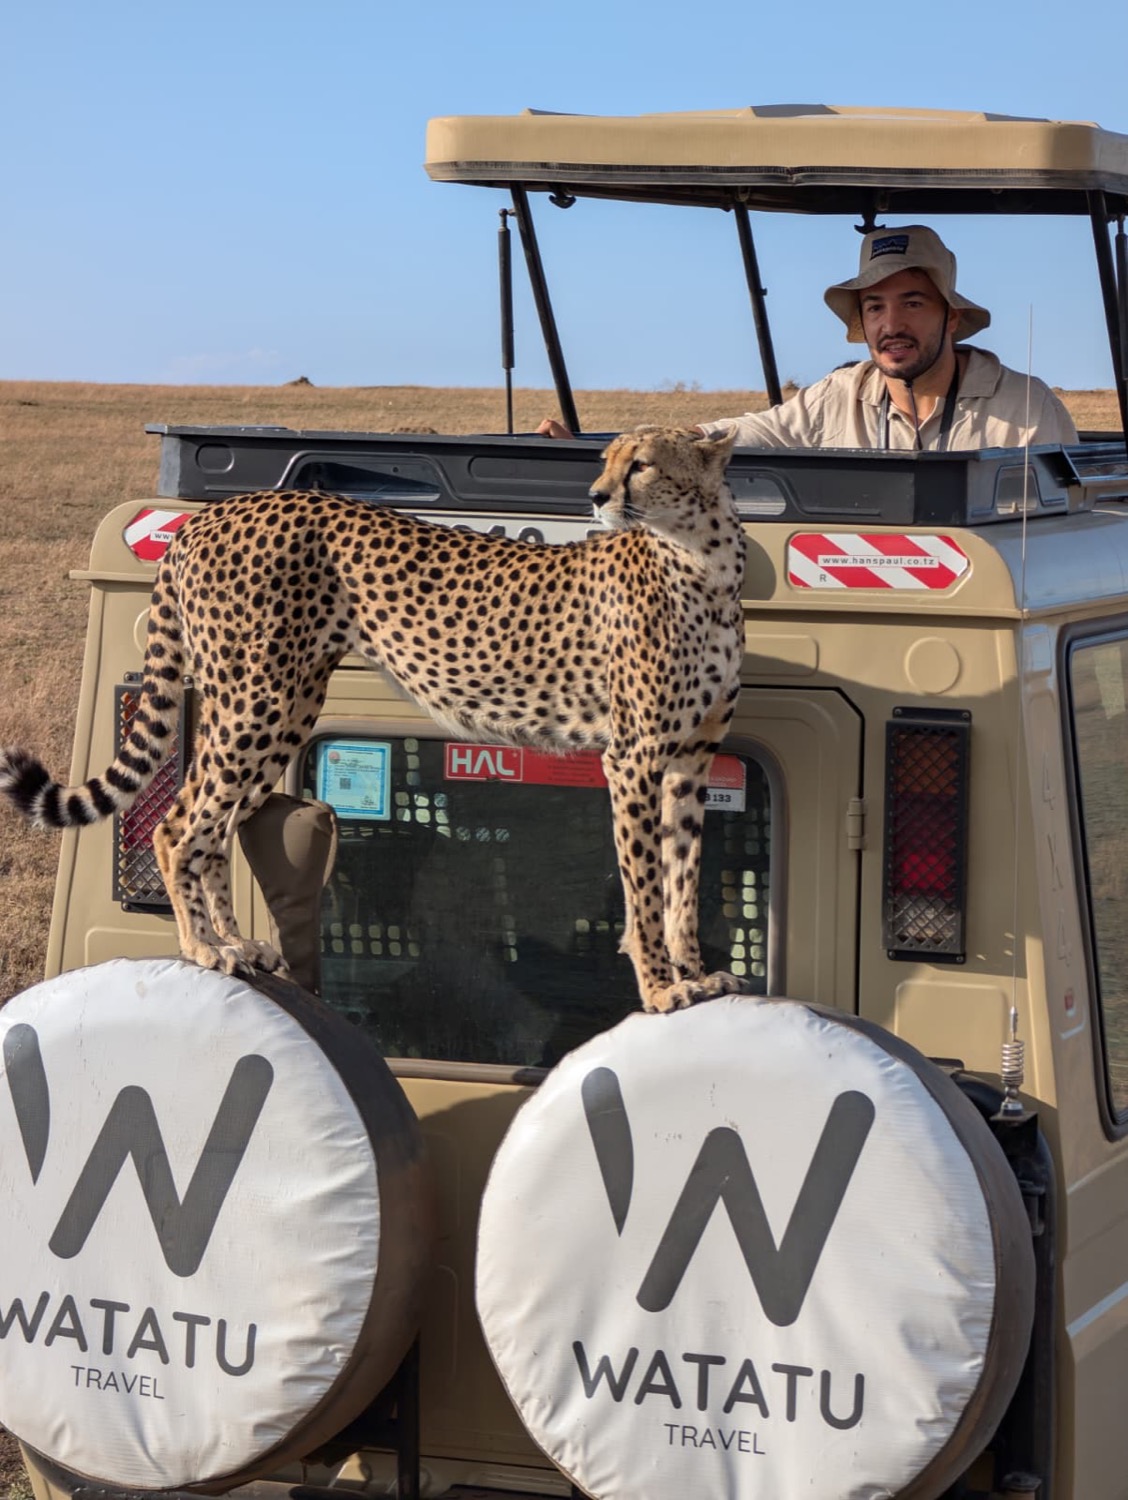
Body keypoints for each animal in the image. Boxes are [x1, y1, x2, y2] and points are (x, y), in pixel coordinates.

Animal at [0, 425, 749, 1014]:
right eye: (607, 460)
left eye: (641, 463)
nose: (595, 497)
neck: (702, 559)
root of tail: (210, 517)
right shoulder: (634, 756)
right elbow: (645, 884)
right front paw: (659, 988)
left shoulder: (690, 760)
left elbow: (683, 874)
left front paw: (694, 972)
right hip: (257, 701)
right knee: (178, 821)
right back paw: (202, 949)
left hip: (282, 706)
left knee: (217, 826)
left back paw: (235, 941)